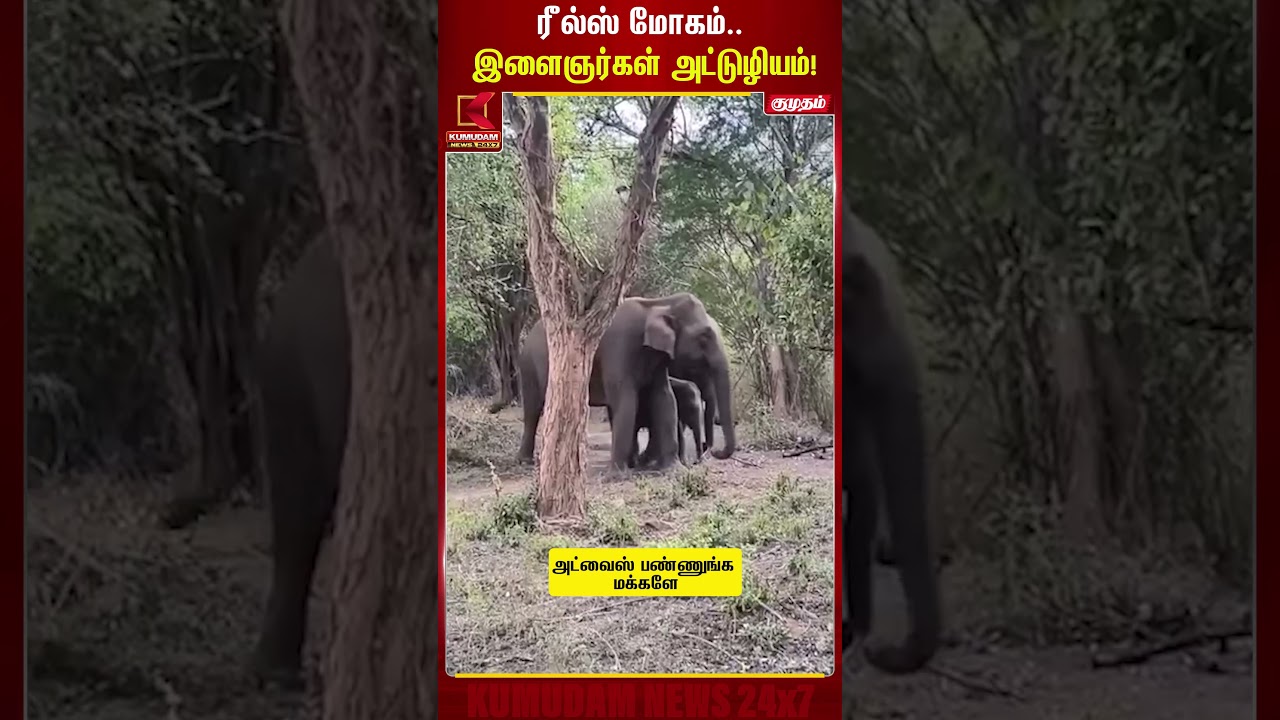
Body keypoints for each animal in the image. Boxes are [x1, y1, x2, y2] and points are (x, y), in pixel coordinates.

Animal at [517, 293, 737, 470]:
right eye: (704, 337)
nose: (715, 451)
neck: (658, 303)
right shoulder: (619, 348)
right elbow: (626, 400)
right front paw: (618, 473)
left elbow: (664, 398)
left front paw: (671, 468)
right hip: (528, 366)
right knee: (533, 410)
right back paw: (526, 461)